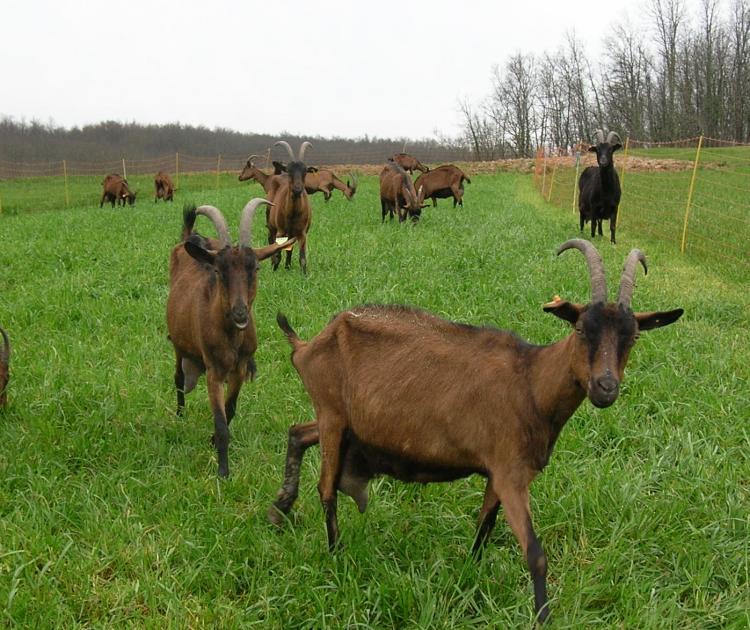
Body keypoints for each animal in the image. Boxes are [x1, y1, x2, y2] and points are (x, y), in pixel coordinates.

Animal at [167, 200, 294, 476]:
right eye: (218, 270)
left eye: (255, 268)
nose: (240, 312)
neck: (232, 337)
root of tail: (189, 238)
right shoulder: (214, 372)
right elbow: (221, 421)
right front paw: (223, 472)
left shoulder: (240, 367)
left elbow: (230, 409)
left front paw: (213, 441)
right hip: (179, 346)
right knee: (179, 377)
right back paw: (180, 414)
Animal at [268, 141, 314, 274]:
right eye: (289, 170)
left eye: (305, 171)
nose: (298, 189)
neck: (292, 213)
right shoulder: (280, 231)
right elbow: (277, 254)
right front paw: (274, 271)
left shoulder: (302, 233)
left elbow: (302, 258)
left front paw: (304, 275)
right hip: (271, 224)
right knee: (270, 240)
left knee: (290, 249)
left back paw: (287, 267)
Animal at [270, 241, 688, 628]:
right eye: (582, 329)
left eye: (633, 338)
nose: (606, 387)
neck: (531, 381)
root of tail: (308, 344)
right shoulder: (509, 472)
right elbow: (535, 554)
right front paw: (542, 617)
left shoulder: (499, 474)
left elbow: (485, 525)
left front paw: (469, 577)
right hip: (332, 416)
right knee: (326, 487)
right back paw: (335, 554)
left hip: (344, 425)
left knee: (298, 432)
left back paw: (280, 508)